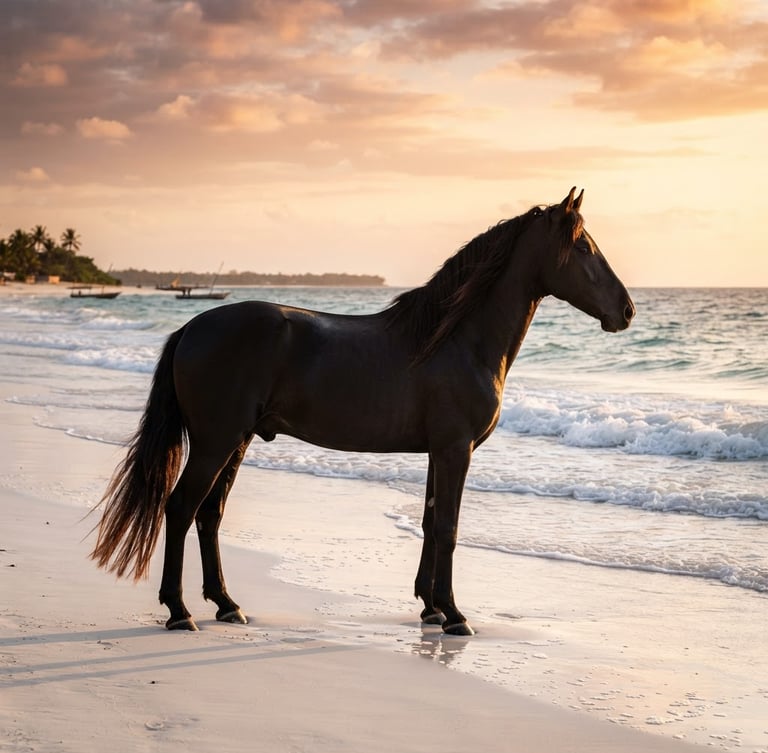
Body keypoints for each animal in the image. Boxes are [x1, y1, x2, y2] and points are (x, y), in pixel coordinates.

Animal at [91, 188, 635, 635]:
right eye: (583, 248)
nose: (627, 311)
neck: (457, 340)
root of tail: (191, 328)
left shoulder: (438, 451)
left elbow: (429, 522)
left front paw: (429, 608)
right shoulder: (456, 450)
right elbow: (449, 528)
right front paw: (455, 615)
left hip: (237, 441)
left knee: (209, 513)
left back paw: (227, 604)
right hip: (215, 442)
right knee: (182, 508)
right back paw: (179, 611)